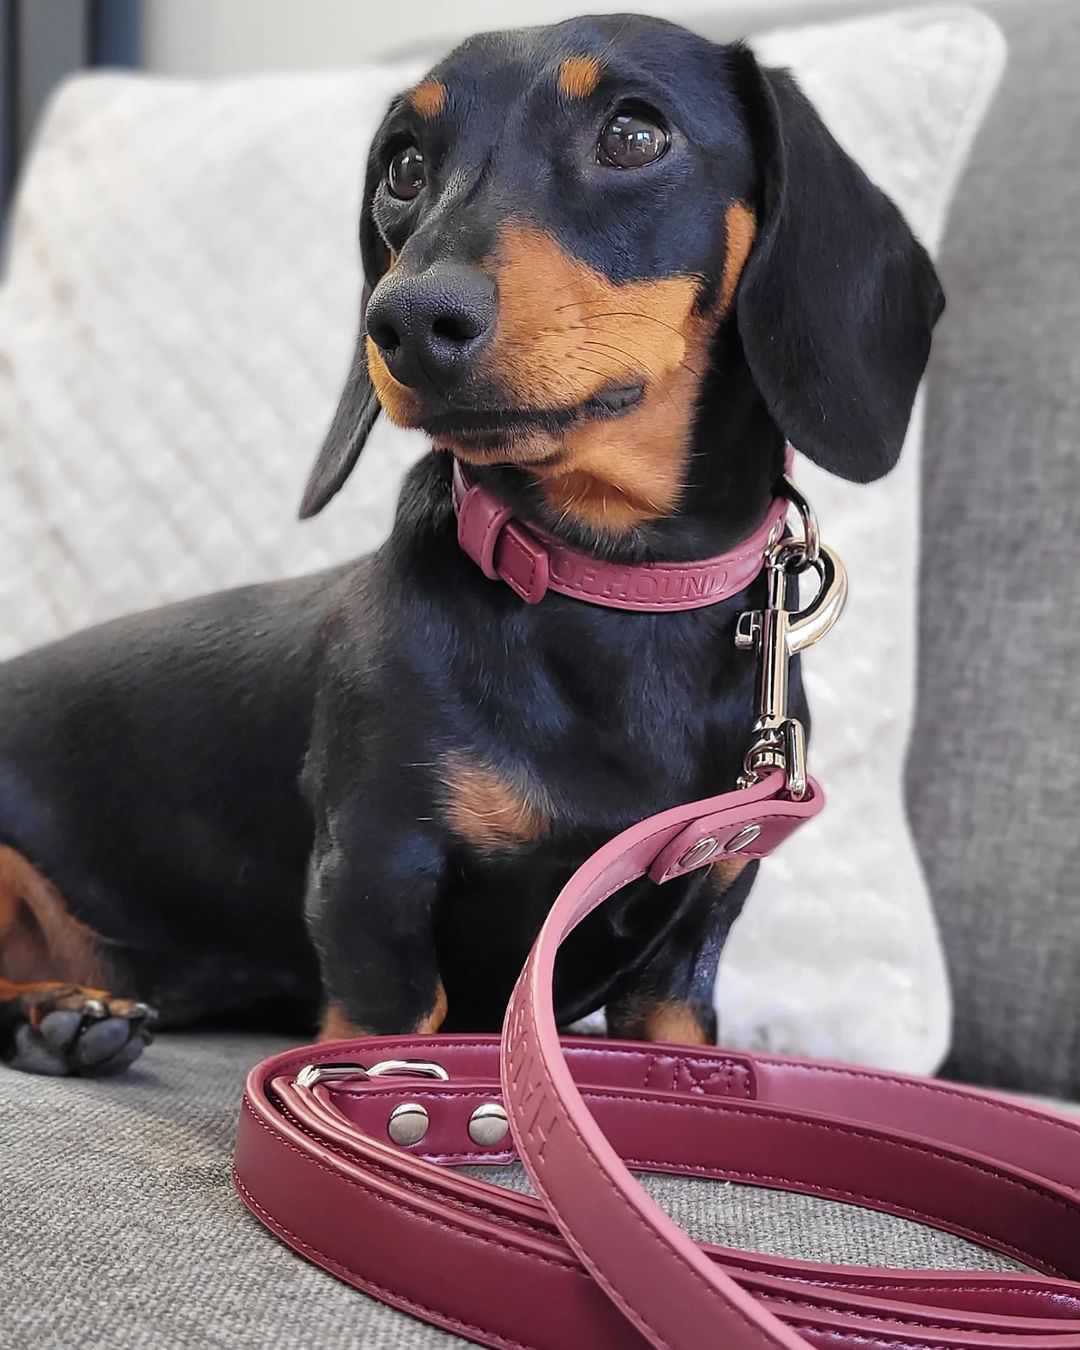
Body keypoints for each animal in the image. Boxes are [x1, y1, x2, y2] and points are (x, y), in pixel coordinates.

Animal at [0, 15, 939, 1074]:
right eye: (405, 164)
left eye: (635, 134)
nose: (406, 321)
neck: (609, 585)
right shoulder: (375, 878)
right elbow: (383, 1036)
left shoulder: (691, 938)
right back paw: (56, 1014)